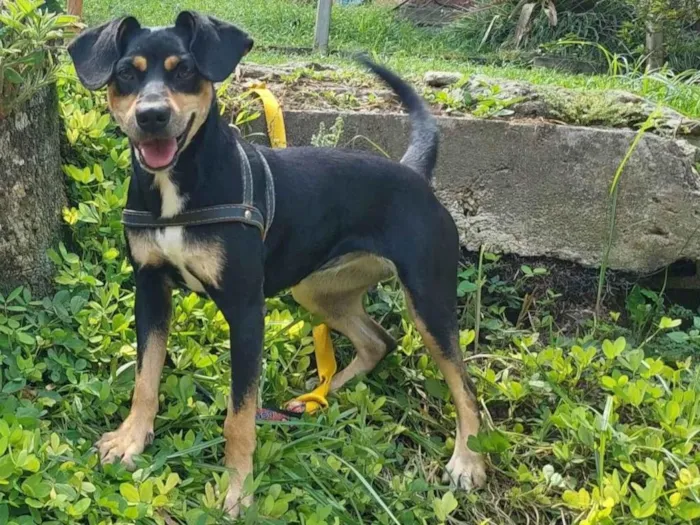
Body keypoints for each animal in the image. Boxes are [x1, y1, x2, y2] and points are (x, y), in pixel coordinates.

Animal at [69, 11, 486, 516]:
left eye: (184, 69)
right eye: (126, 73)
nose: (152, 116)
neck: (179, 190)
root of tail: (413, 172)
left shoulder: (246, 311)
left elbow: (239, 416)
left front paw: (238, 490)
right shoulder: (150, 290)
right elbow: (146, 380)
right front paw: (131, 439)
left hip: (428, 298)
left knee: (465, 386)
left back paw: (468, 461)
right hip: (319, 288)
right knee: (378, 342)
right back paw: (318, 397)